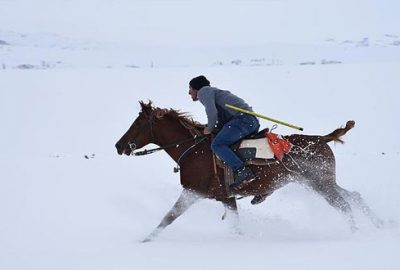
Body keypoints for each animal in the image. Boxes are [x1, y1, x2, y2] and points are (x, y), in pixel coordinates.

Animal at [115, 101, 382, 243]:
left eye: (138, 123)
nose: (119, 146)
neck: (194, 150)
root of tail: (321, 138)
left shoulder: (193, 192)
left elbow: (169, 217)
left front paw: (145, 240)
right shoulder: (226, 198)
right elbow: (234, 224)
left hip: (320, 183)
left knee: (344, 204)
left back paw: (356, 233)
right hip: (321, 182)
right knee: (353, 196)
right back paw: (379, 225)